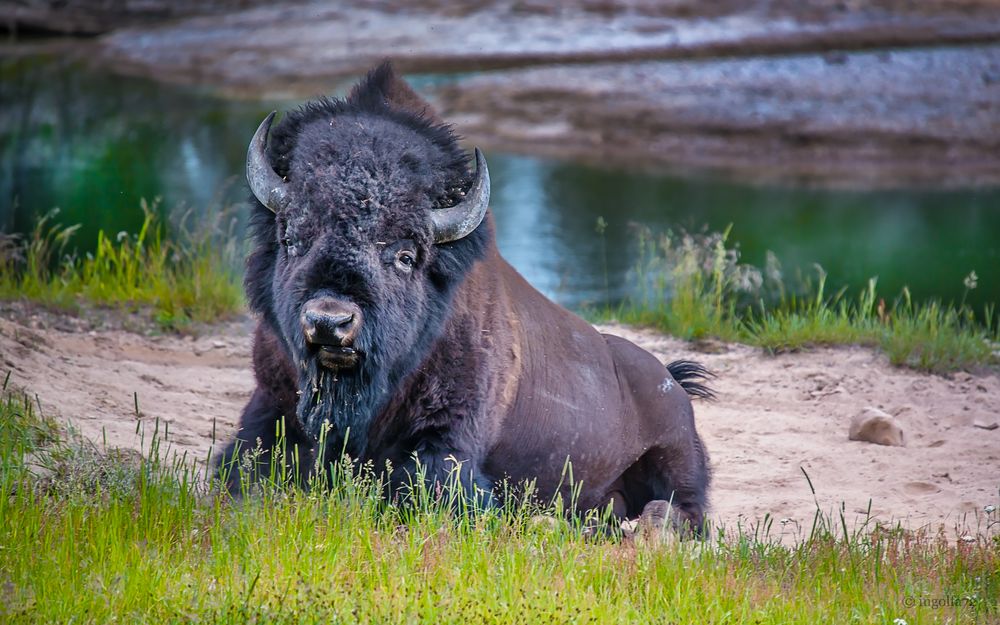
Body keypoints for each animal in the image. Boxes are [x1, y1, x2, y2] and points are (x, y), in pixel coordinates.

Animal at [223, 62, 716, 532]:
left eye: (405, 255)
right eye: (292, 239)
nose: (330, 321)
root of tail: (671, 379)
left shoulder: (449, 442)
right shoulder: (270, 404)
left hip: (673, 460)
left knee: (683, 512)